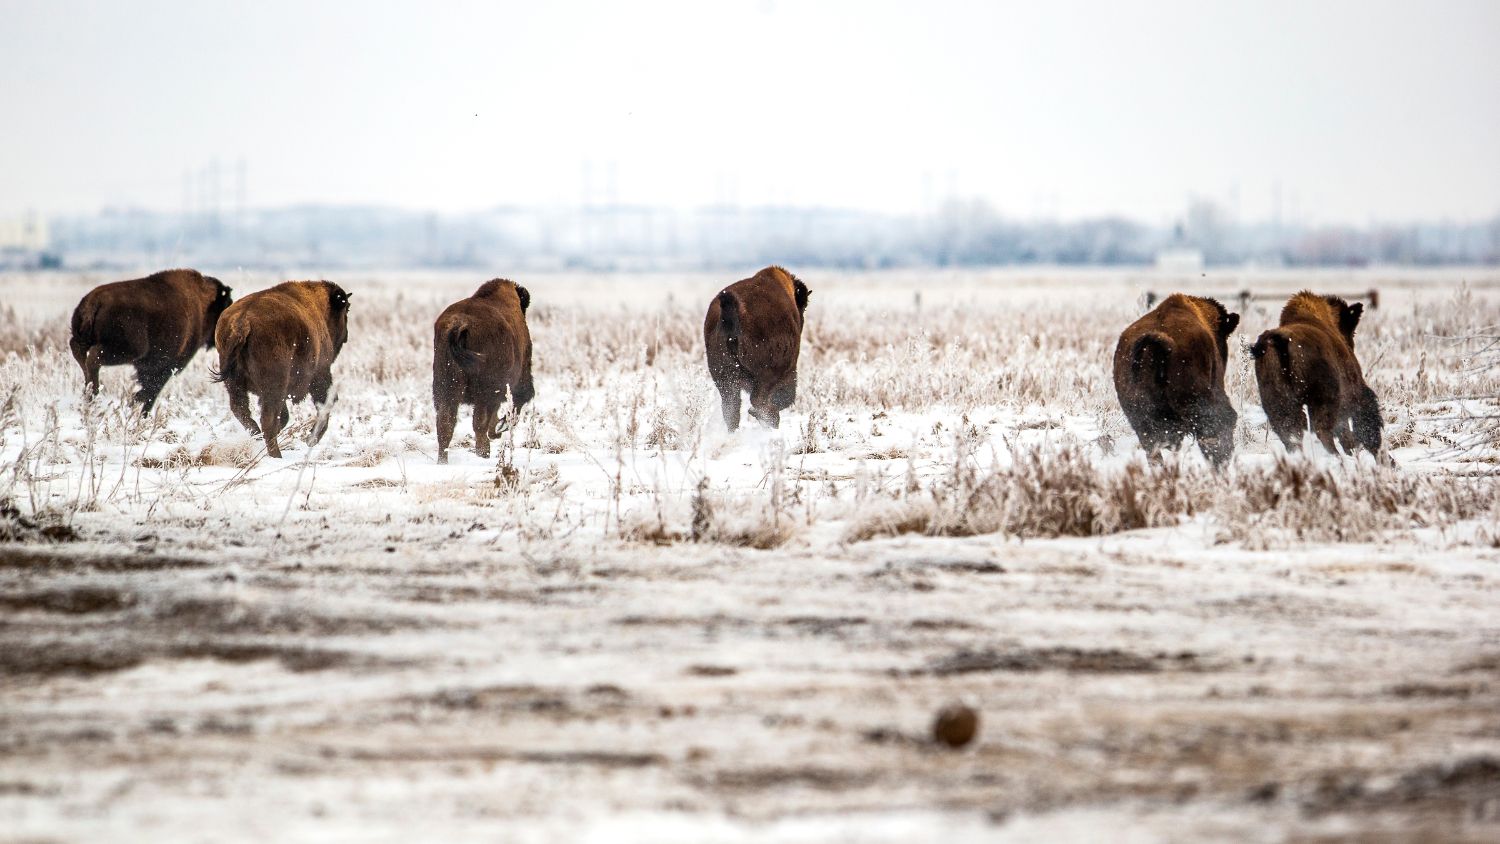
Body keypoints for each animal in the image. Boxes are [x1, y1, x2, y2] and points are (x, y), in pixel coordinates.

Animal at [68, 268, 233, 414]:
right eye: (225, 305)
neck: (204, 304)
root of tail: (93, 301)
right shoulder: (165, 366)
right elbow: (151, 391)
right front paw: (137, 404)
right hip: (127, 350)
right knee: (93, 358)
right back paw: (93, 392)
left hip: (84, 340)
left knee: (79, 352)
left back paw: (88, 393)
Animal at [212, 281, 352, 459]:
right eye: (346, 309)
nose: (346, 335)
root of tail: (242, 323)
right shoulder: (320, 373)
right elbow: (326, 403)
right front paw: (310, 439)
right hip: (274, 387)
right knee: (268, 420)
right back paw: (276, 454)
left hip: (235, 385)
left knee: (242, 410)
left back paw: (258, 437)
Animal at [432, 279, 535, 463]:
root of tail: (460, 325)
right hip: (483, 391)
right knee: (478, 422)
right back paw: (485, 450)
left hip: (445, 389)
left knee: (445, 423)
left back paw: (443, 461)